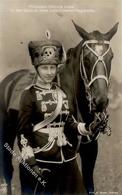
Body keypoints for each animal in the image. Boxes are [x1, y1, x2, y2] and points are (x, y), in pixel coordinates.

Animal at [0, 22, 118, 194]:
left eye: (111, 57)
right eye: (86, 59)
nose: (101, 101)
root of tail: (9, 80)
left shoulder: (90, 151)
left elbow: (89, 186)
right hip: (6, 135)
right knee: (8, 172)